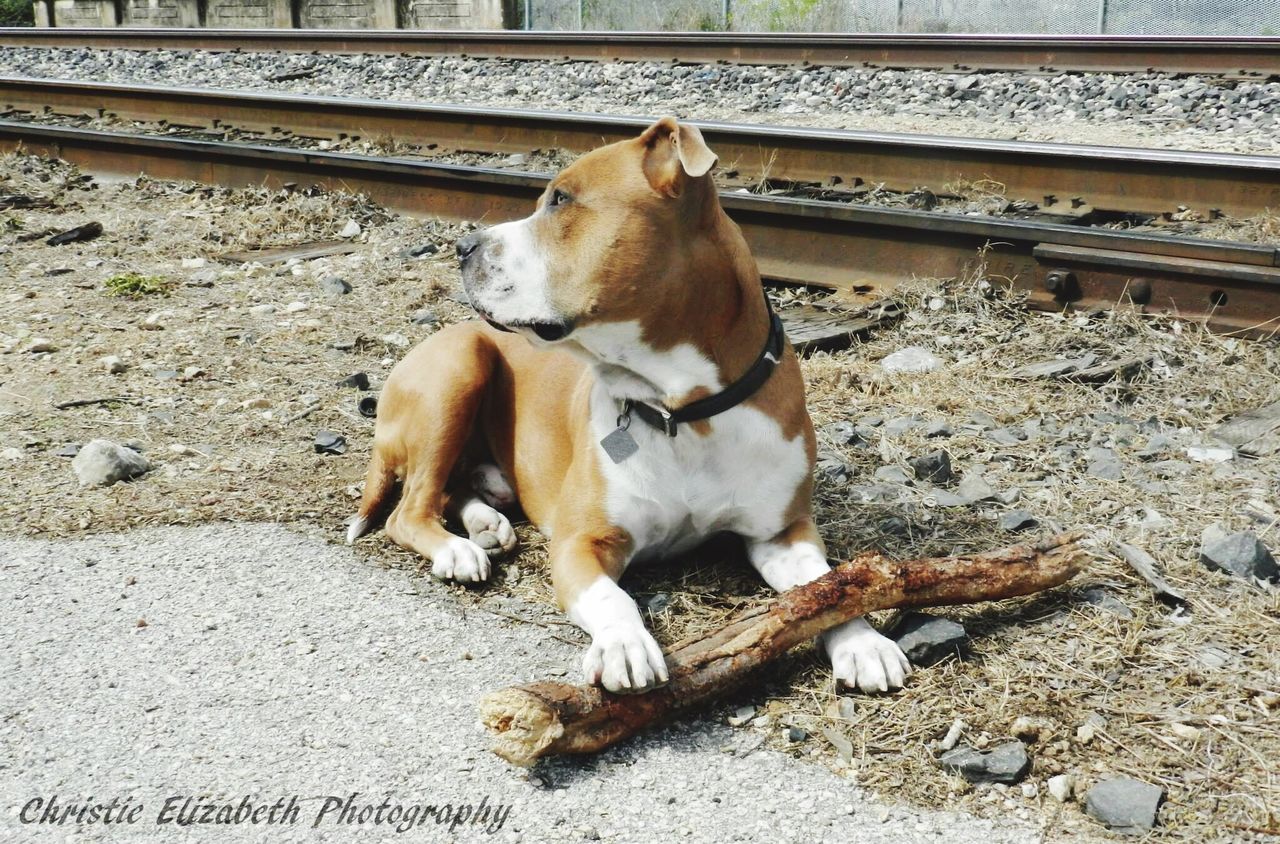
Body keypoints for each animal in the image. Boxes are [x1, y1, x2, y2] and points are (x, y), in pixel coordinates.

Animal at [350, 120, 911, 701]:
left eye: (561, 200)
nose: (463, 245)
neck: (682, 410)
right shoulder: (582, 541)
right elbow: (613, 598)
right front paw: (624, 644)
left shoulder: (781, 531)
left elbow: (828, 584)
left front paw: (862, 641)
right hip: (458, 367)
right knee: (409, 508)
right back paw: (456, 550)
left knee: (446, 488)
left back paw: (484, 520)